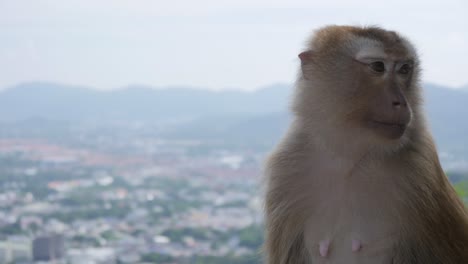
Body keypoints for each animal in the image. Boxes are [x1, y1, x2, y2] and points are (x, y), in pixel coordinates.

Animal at [264, 25, 468, 264]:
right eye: (378, 67)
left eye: (404, 69)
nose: (401, 102)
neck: (348, 158)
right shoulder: (286, 170)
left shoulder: (420, 170)